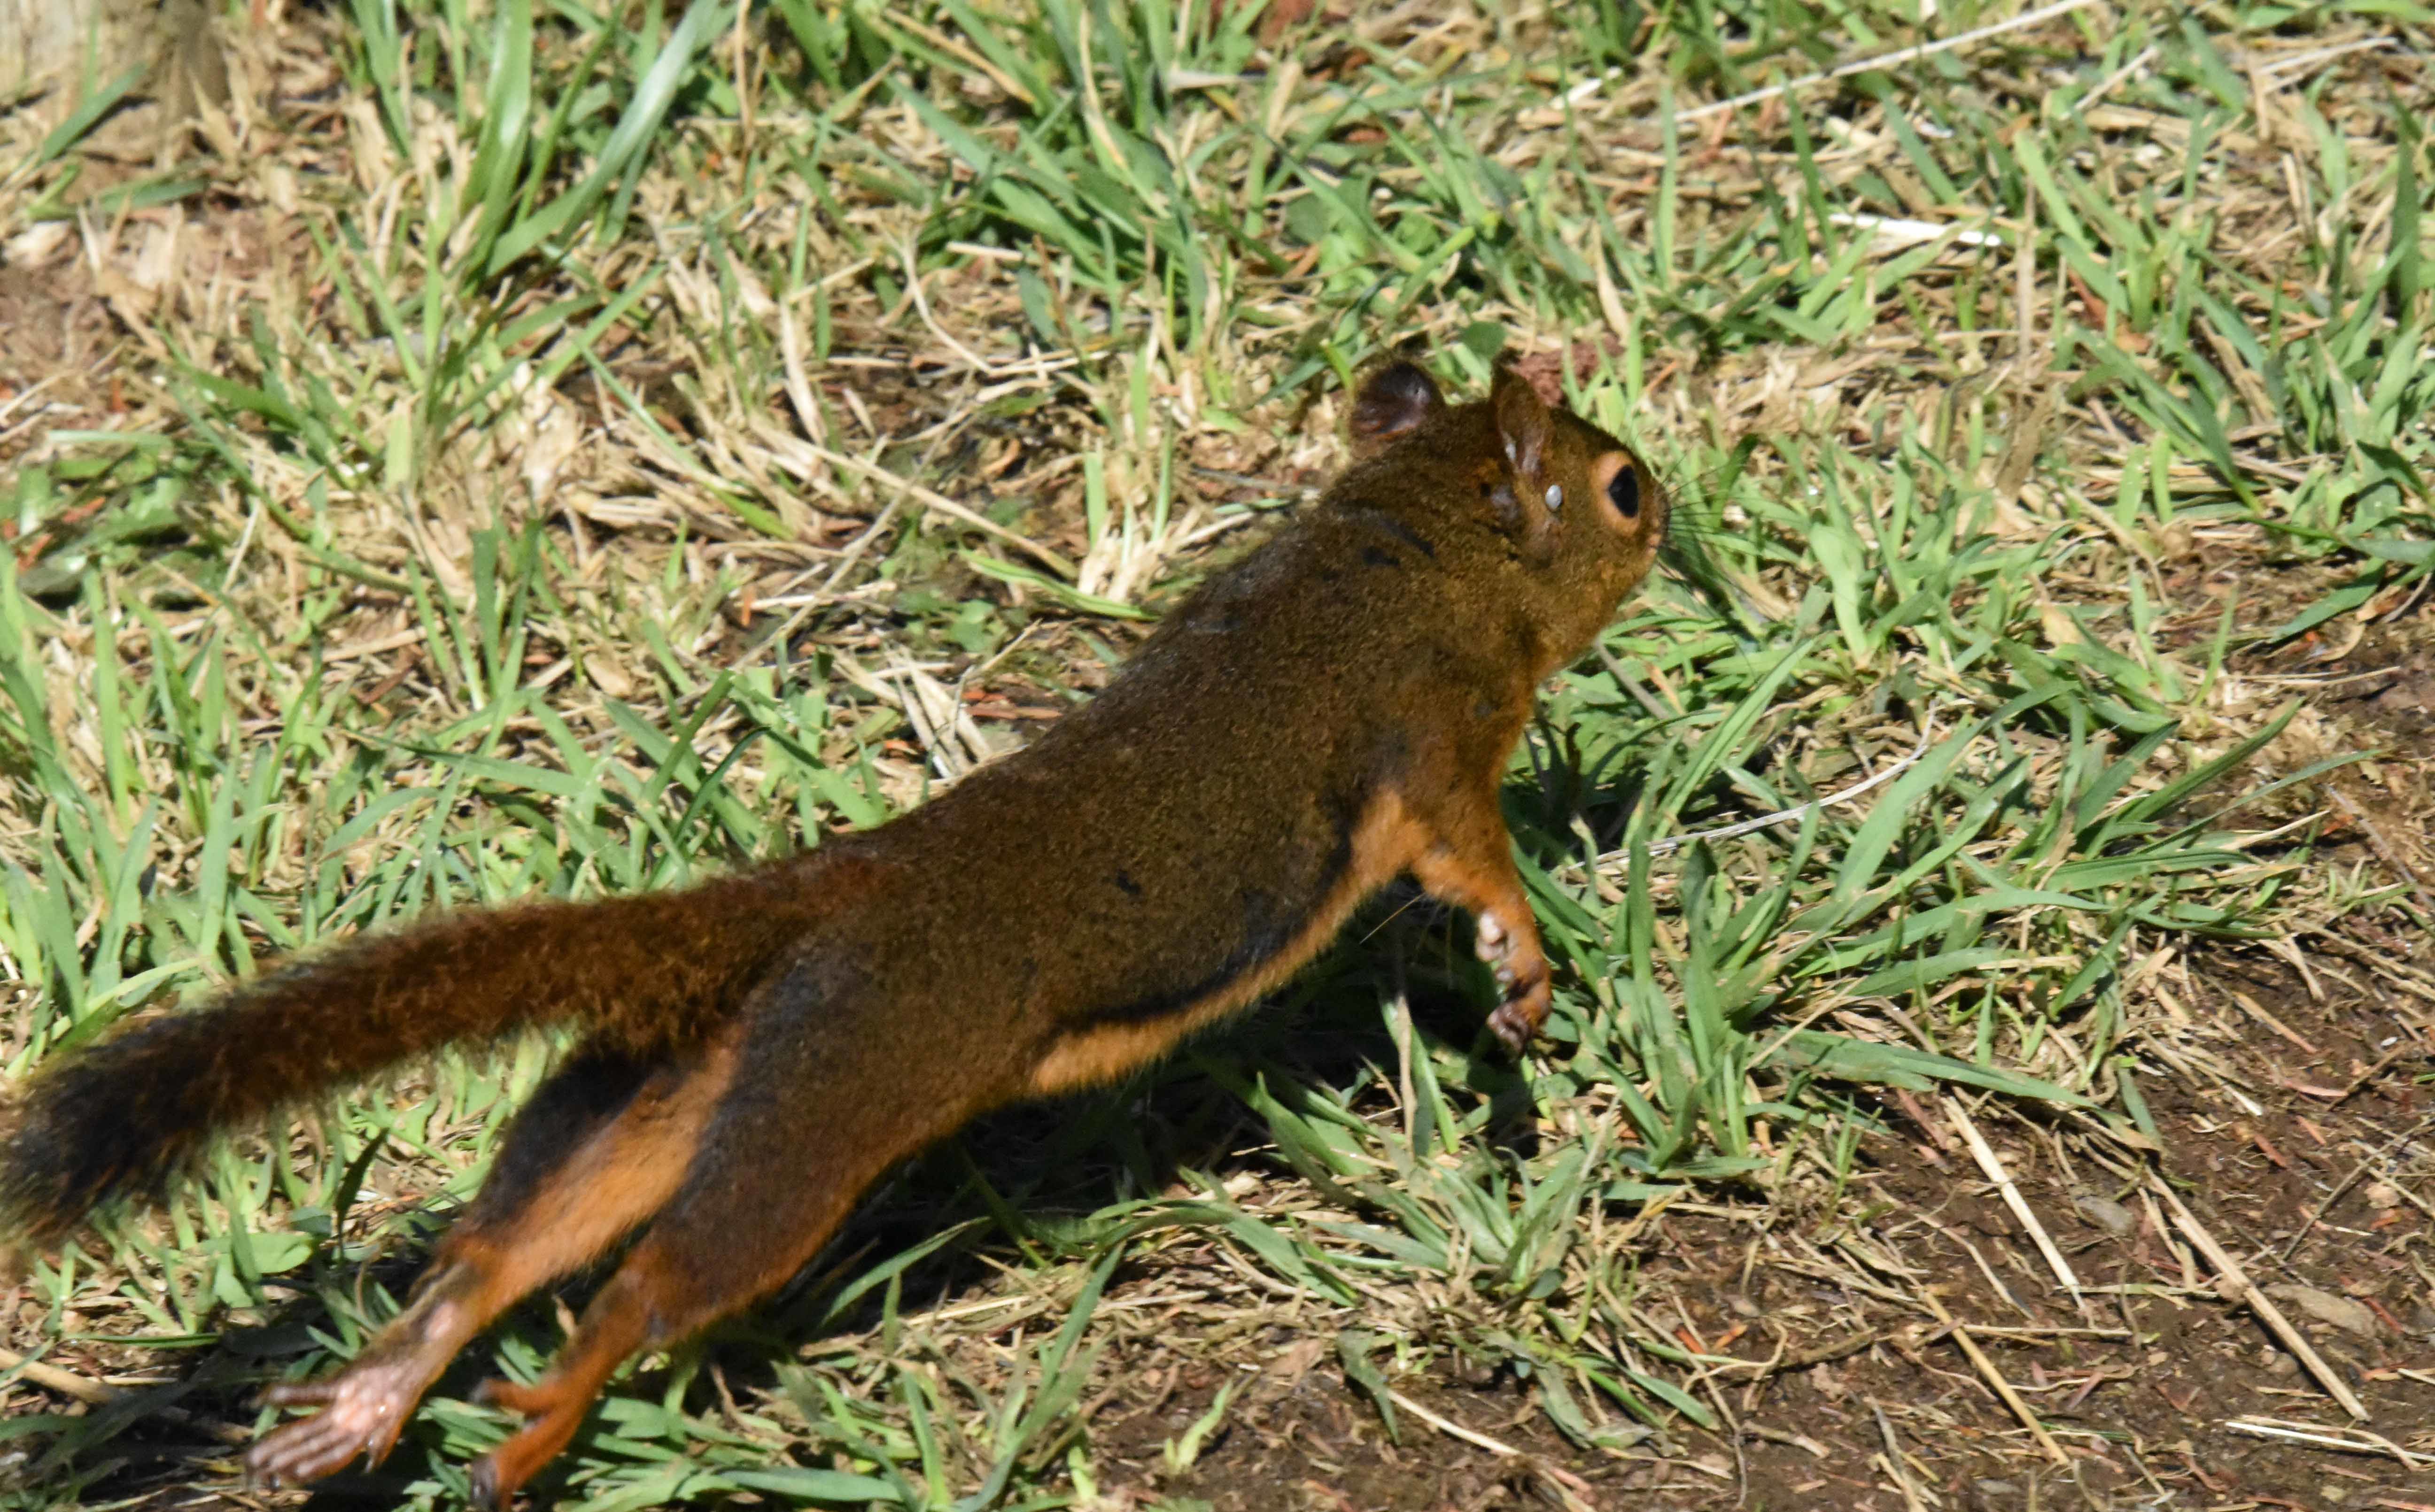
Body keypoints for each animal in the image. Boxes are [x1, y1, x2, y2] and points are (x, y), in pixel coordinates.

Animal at [0, 359, 1667, 1506]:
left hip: (666, 1083)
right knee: (648, 1281)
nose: (1679, 512)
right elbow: (1473, 858)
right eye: (1622, 488)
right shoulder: (1432, 730)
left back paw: (371, 1403)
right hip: (831, 1098)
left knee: (501, 1245)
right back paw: (537, 1428)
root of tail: (823, 902)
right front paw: (1523, 966)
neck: (1401, 545)